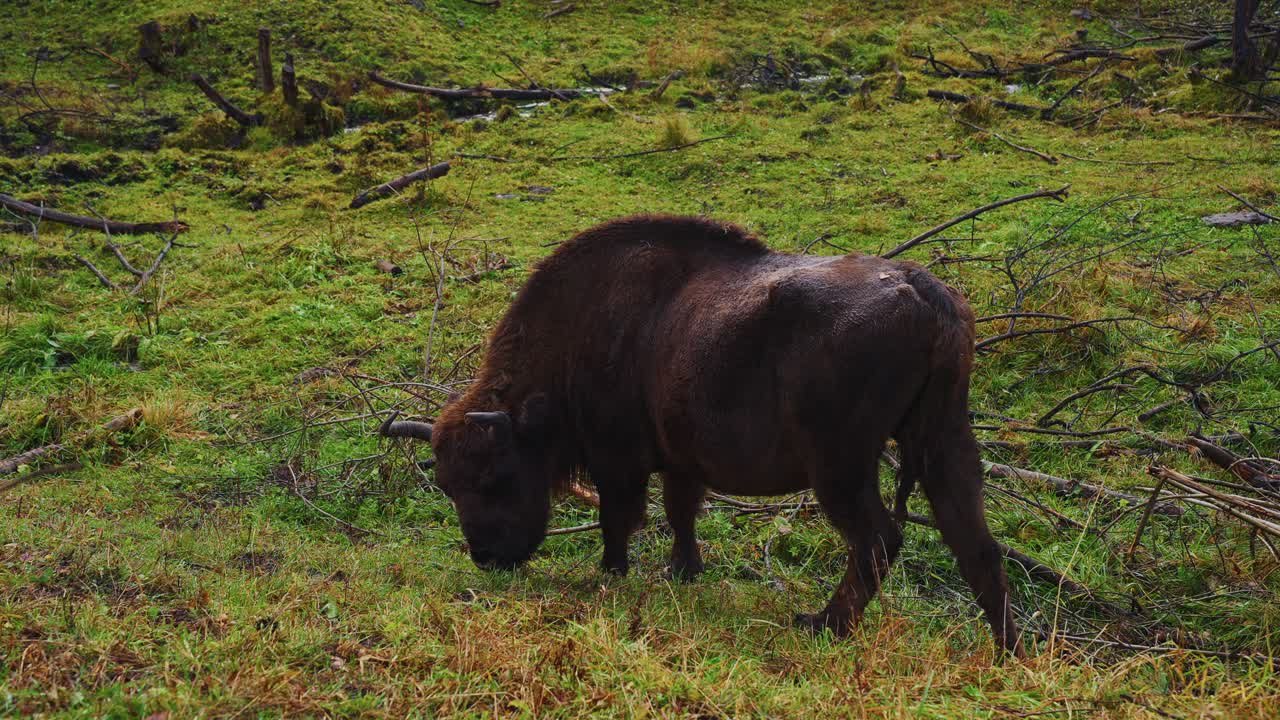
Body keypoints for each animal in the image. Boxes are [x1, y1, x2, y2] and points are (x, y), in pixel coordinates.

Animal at [382, 214, 1023, 656]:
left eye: (494, 476)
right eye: (447, 485)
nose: (487, 558)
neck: (590, 326)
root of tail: (924, 292)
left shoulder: (619, 459)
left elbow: (621, 517)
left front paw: (611, 573)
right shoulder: (681, 460)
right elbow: (681, 512)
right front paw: (683, 571)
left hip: (840, 466)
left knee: (879, 540)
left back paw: (822, 625)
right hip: (944, 440)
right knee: (976, 543)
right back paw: (1008, 649)